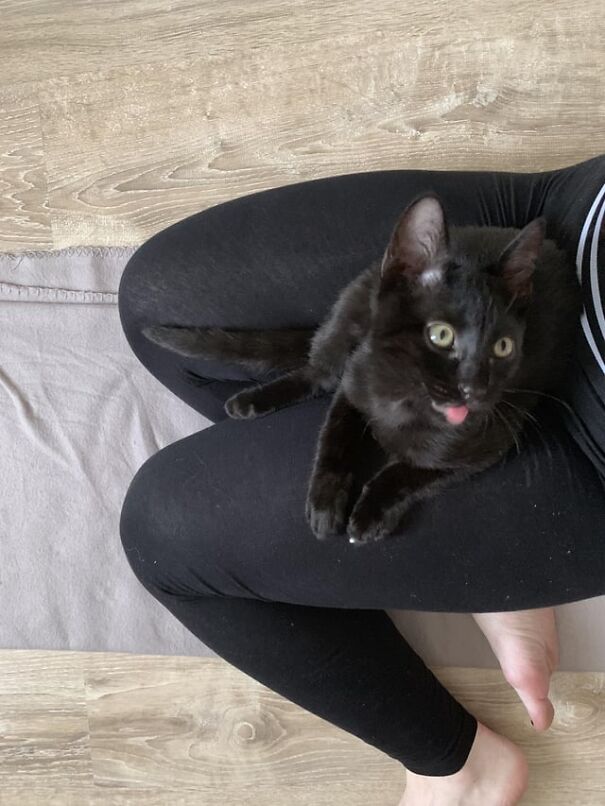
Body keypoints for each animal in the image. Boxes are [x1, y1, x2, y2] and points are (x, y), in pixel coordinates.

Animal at [142, 196, 580, 548]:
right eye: (440, 335)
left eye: (503, 347)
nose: (476, 388)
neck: (405, 399)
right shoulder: (353, 385)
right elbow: (335, 436)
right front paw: (325, 504)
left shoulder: (490, 442)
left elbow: (412, 471)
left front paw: (370, 513)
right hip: (350, 316)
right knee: (316, 370)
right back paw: (252, 400)